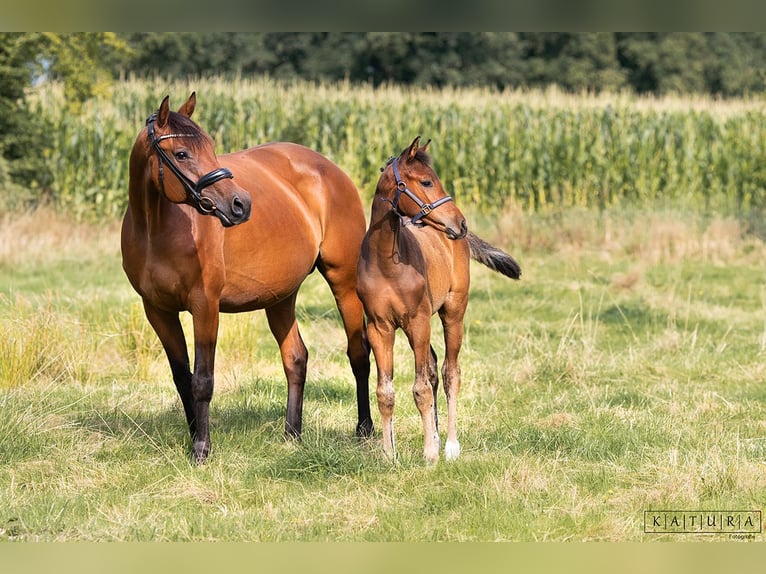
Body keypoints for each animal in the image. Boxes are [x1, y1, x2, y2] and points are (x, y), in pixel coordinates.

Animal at [121, 93, 373, 463]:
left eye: (211, 147)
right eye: (181, 154)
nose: (240, 204)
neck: (156, 227)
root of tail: (329, 169)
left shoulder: (205, 306)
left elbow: (203, 380)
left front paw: (201, 449)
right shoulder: (157, 311)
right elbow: (183, 378)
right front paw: (194, 437)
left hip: (344, 283)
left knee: (358, 353)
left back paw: (365, 430)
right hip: (281, 297)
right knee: (295, 358)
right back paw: (292, 434)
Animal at [356, 136, 521, 464]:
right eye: (426, 181)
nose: (461, 223)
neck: (386, 263)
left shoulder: (418, 321)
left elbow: (421, 387)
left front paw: (430, 454)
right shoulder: (380, 328)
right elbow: (385, 391)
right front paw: (389, 454)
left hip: (452, 314)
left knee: (449, 373)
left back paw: (450, 446)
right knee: (433, 369)